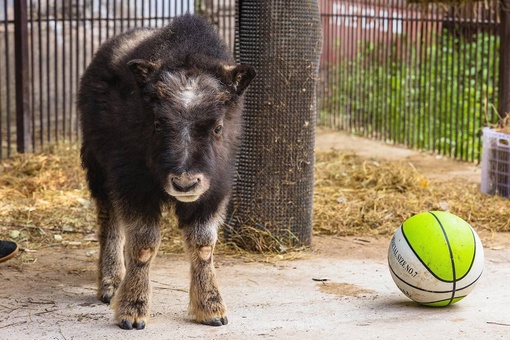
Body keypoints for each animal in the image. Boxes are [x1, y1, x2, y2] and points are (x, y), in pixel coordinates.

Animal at [76, 13, 255, 330]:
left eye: (218, 126)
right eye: (158, 124)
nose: (185, 184)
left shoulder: (214, 191)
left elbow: (203, 244)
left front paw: (211, 309)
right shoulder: (133, 184)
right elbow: (144, 244)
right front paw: (132, 311)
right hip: (98, 167)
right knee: (109, 220)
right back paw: (111, 283)